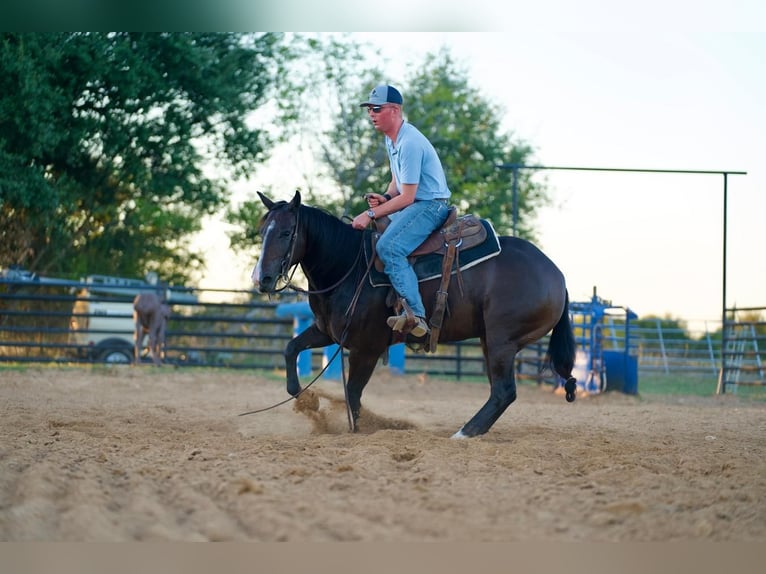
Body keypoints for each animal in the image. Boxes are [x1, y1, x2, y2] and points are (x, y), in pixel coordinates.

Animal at [252, 191, 576, 438]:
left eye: (286, 233)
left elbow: (352, 392)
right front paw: (308, 401)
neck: (349, 267)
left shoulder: (367, 348)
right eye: (262, 231)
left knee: (504, 391)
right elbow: (291, 350)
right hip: (490, 339)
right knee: (501, 392)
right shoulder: (326, 330)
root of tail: (557, 274)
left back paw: (464, 433)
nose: (262, 279)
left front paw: (357, 430)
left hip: (501, 341)